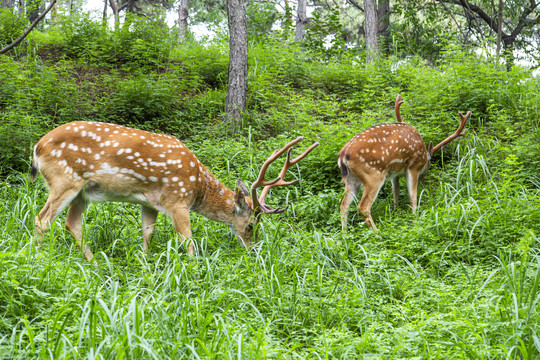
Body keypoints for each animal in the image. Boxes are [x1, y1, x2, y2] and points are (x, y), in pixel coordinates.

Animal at [31, 121, 318, 262]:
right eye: (250, 227)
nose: (254, 251)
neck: (198, 187)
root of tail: (37, 147)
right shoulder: (177, 199)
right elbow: (187, 239)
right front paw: (194, 269)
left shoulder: (148, 202)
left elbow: (147, 233)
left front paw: (145, 263)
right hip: (64, 180)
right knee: (42, 220)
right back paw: (37, 259)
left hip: (83, 191)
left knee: (72, 223)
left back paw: (95, 262)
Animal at [338, 95, 468, 231]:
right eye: (428, 163)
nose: (425, 173)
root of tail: (343, 157)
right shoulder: (414, 166)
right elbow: (413, 196)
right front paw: (415, 220)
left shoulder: (394, 173)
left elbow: (396, 191)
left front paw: (395, 212)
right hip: (373, 176)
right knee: (363, 206)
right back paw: (377, 232)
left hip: (351, 179)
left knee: (343, 204)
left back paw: (345, 232)